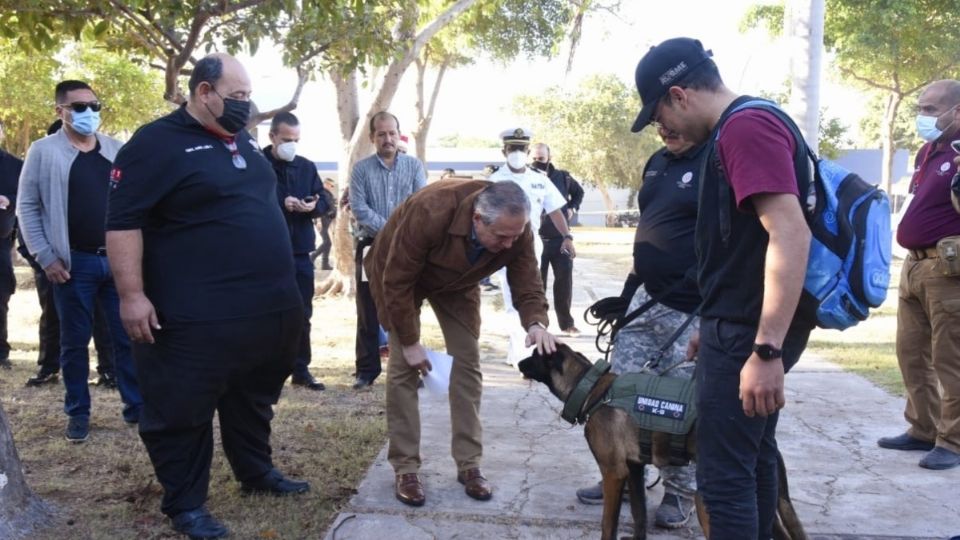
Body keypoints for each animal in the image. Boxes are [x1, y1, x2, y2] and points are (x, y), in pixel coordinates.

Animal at [512, 344, 808, 536]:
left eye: (535, 355)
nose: (518, 362)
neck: (594, 390)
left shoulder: (613, 473)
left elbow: (608, 525)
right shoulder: (633, 470)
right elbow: (639, 518)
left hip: (709, 502)